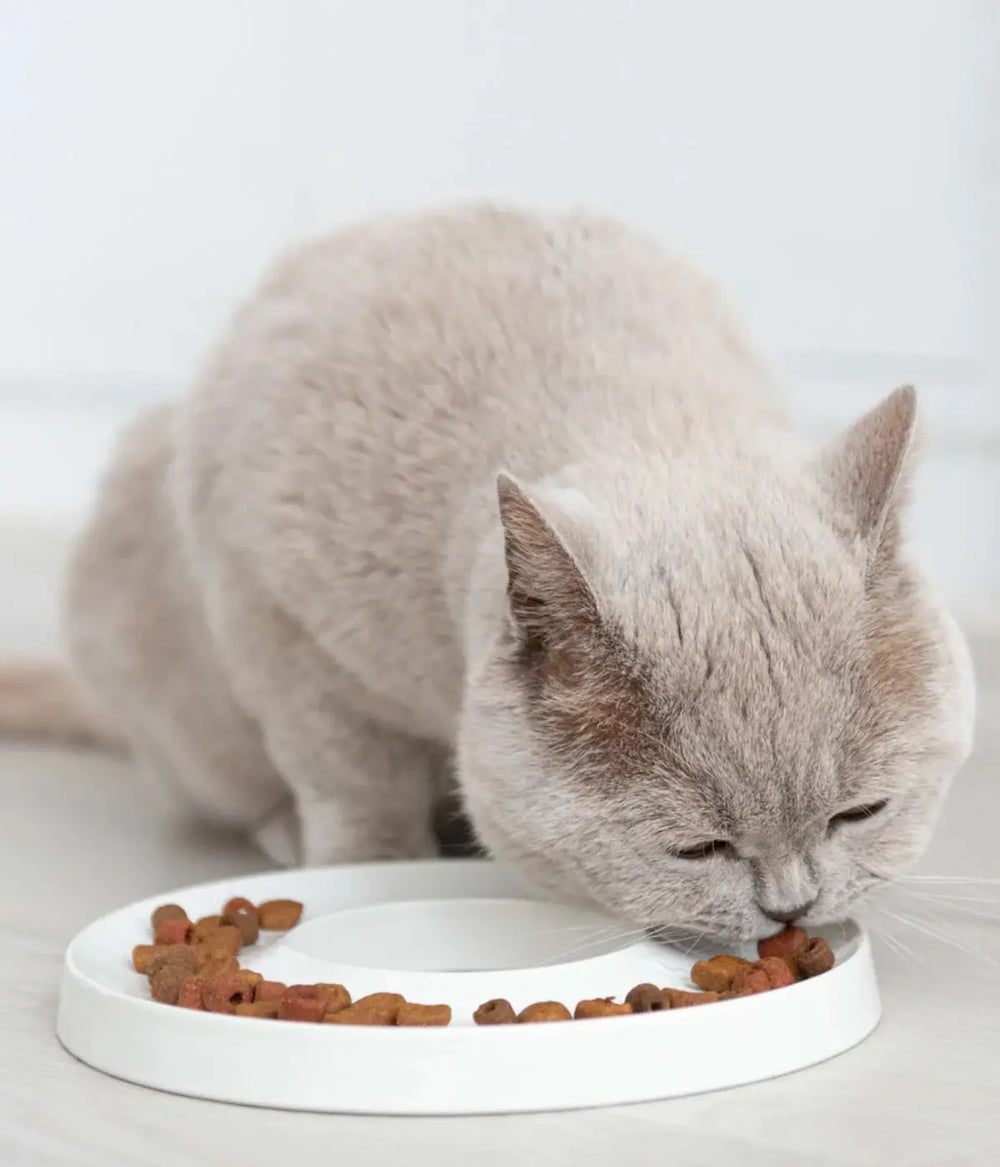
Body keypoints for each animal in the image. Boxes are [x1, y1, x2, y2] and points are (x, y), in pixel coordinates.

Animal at [0, 207, 975, 938]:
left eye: (861, 812)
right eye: (698, 848)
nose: (792, 907)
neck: (644, 421)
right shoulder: (276, 620)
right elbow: (350, 775)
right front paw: (368, 866)